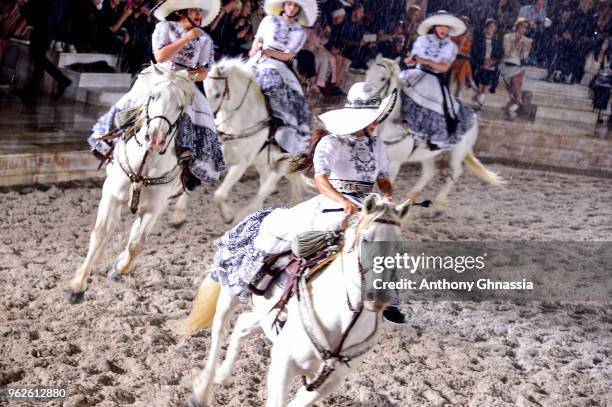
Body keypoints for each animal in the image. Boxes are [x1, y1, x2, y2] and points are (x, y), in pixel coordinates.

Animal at [65, 67, 194, 302]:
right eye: (153, 97)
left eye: (180, 106)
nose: (155, 139)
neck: (145, 164)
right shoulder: (112, 195)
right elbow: (100, 234)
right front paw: (77, 287)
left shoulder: (155, 207)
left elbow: (137, 244)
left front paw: (119, 268)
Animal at [182, 195, 412, 407]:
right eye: (365, 239)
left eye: (398, 245)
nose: (378, 298)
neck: (343, 326)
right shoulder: (283, 364)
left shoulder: (327, 383)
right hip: (232, 292)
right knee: (220, 329)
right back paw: (202, 392)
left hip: (267, 316)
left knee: (242, 324)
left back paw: (222, 375)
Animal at [206, 57, 310, 225]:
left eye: (217, 94)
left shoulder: (241, 164)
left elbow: (219, 195)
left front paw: (229, 216)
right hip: (262, 162)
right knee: (267, 184)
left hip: (284, 162)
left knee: (268, 187)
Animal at [366, 55, 504, 207]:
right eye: (367, 72)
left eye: (383, 78)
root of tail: (473, 118)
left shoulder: (395, 162)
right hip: (427, 154)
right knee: (430, 171)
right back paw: (411, 198)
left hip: (457, 153)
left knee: (456, 172)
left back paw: (438, 202)